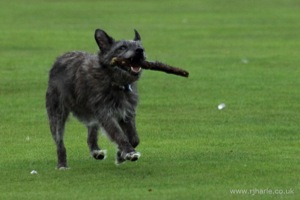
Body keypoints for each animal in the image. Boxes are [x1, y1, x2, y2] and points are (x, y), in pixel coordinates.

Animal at [45, 28, 146, 169]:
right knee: (59, 142)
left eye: (140, 46)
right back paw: (62, 164)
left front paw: (120, 154)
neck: (114, 81)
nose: (140, 51)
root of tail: (59, 58)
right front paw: (129, 152)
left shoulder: (127, 113)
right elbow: (119, 135)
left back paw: (95, 151)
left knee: (91, 133)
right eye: (122, 47)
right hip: (56, 114)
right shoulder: (105, 114)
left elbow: (134, 138)